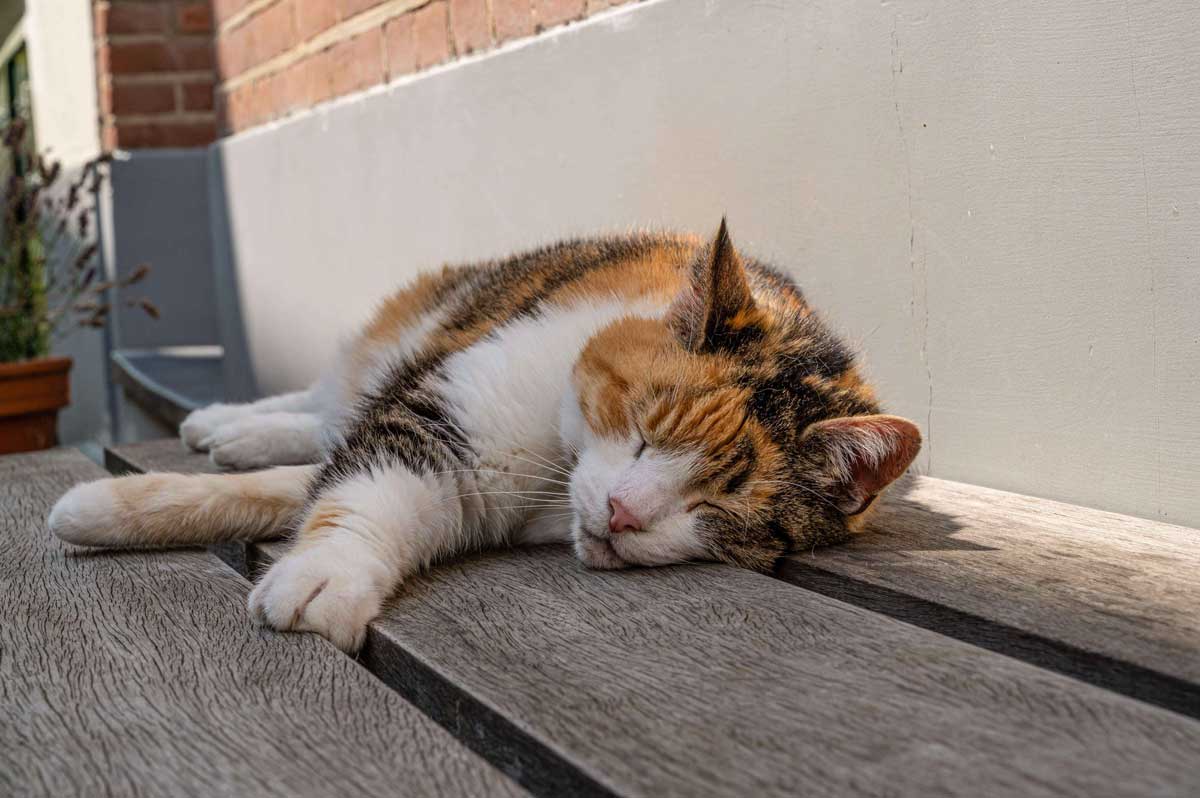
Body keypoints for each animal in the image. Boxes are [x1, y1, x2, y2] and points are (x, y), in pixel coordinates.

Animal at [49, 220, 916, 652]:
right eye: (643, 429)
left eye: (720, 507)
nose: (625, 513)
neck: (553, 464)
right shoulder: (437, 417)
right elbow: (361, 487)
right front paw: (325, 574)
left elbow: (287, 490)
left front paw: (109, 508)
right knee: (328, 402)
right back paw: (225, 420)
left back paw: (238, 436)